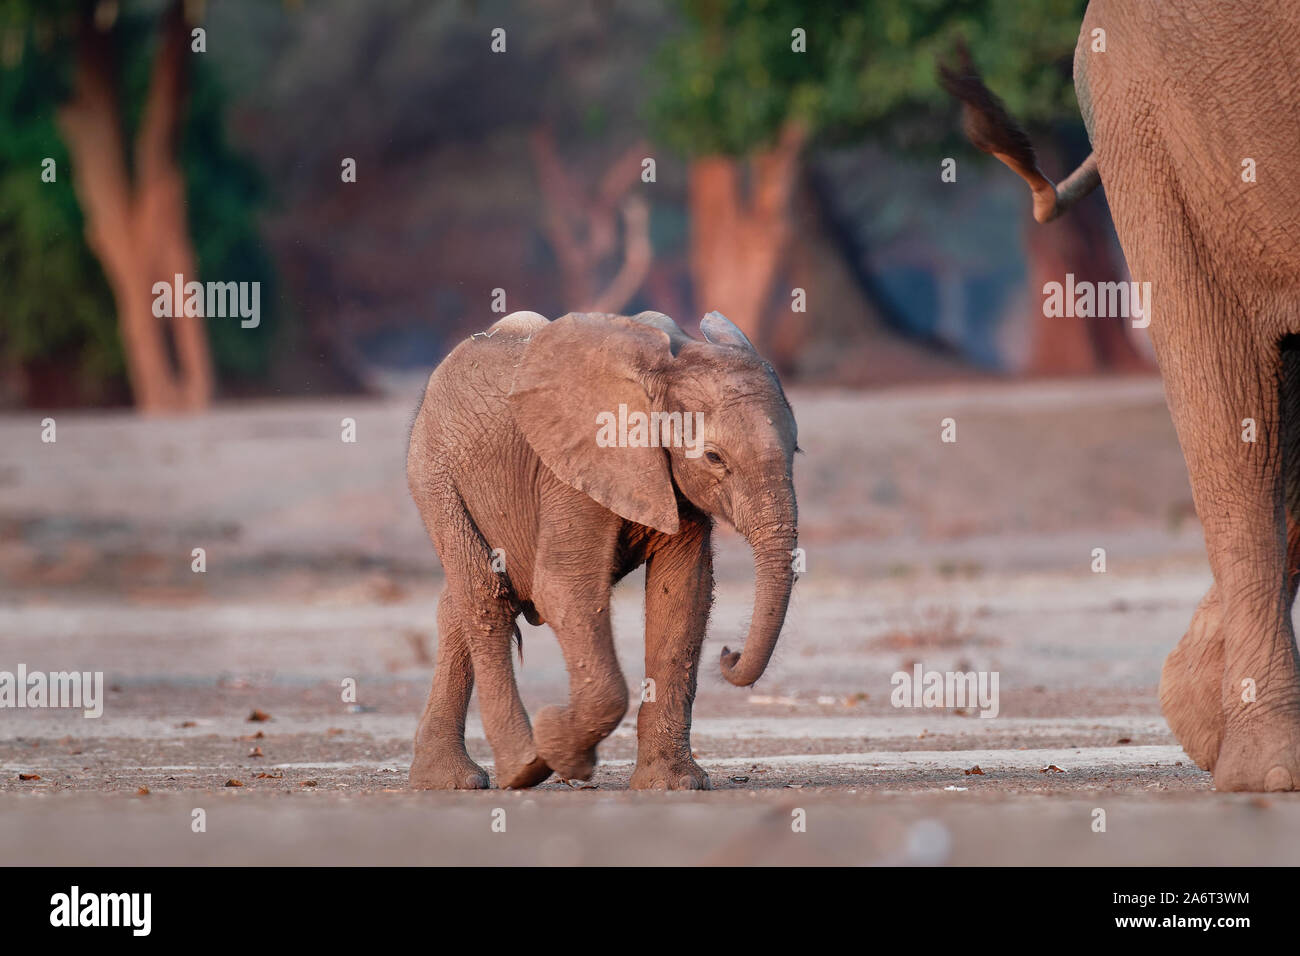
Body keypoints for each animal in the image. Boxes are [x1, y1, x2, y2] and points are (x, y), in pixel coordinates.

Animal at [405, 310, 795, 790]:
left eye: (796, 450)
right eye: (714, 457)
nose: (729, 654)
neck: (667, 370)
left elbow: (683, 596)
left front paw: (674, 784)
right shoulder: (572, 469)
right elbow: (563, 589)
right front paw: (558, 744)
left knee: (458, 603)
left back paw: (446, 779)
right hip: (434, 473)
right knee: (484, 594)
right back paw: (521, 766)